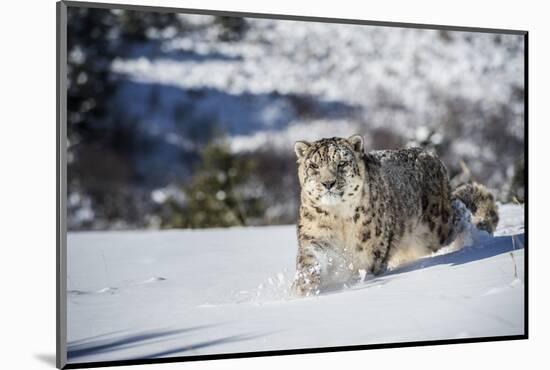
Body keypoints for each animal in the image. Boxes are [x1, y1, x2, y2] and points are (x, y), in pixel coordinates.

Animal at [294, 134, 500, 296]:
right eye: (314, 165)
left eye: (342, 163)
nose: (328, 183)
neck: (338, 218)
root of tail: (432, 155)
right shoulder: (315, 237)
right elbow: (309, 262)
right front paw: (303, 288)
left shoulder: (369, 253)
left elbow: (362, 270)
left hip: (435, 230)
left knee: (460, 211)